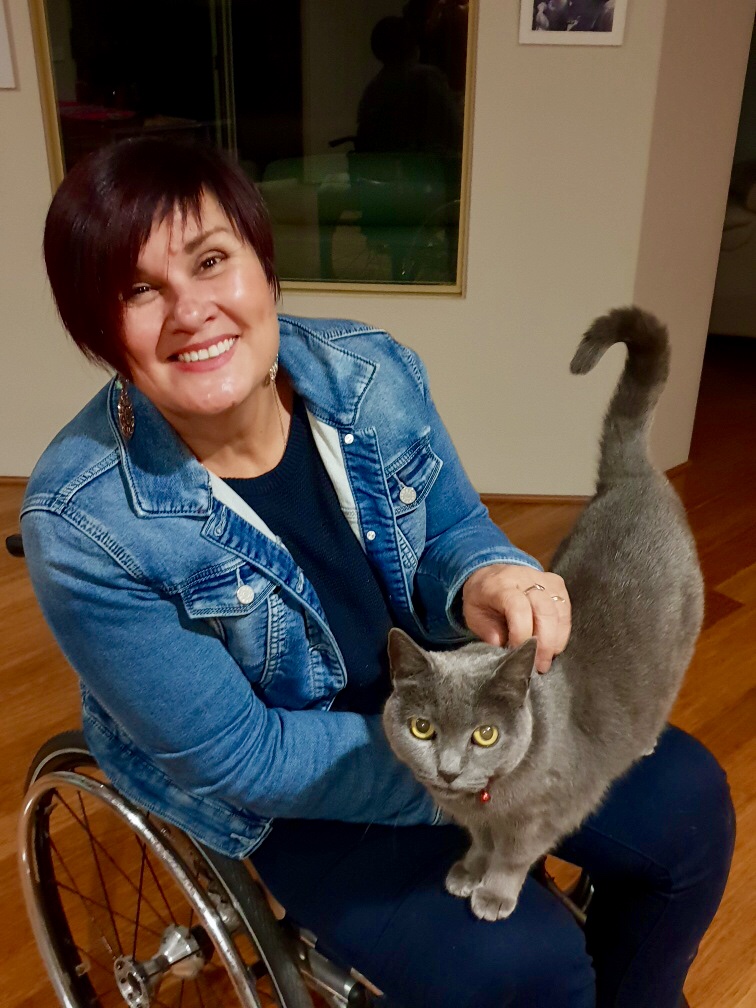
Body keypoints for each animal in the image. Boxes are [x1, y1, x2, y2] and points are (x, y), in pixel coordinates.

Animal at [385, 306, 705, 923]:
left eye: (485, 734)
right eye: (422, 728)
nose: (449, 769)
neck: (484, 800)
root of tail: (634, 478)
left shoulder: (545, 816)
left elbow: (513, 855)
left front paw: (492, 894)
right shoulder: (475, 819)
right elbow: (480, 841)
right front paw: (467, 870)